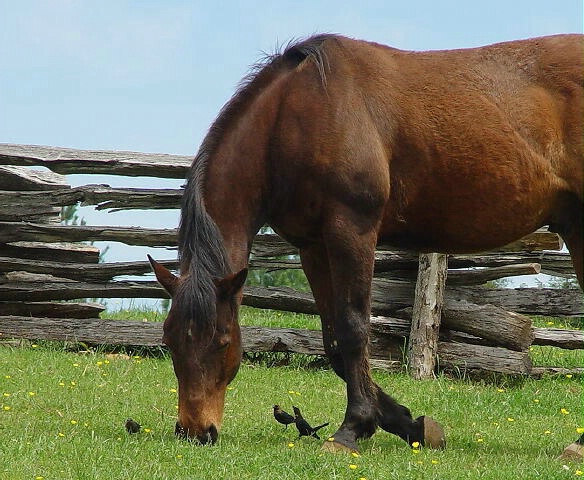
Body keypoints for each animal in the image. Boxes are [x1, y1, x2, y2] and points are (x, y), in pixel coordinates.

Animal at [148, 34, 580, 454]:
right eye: (169, 340)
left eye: (222, 341)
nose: (195, 430)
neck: (295, 113)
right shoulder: (314, 246)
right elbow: (334, 340)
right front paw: (408, 424)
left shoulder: (351, 232)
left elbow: (354, 327)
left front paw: (353, 428)